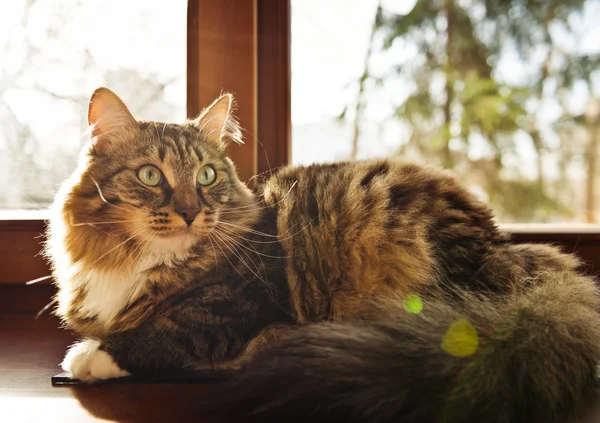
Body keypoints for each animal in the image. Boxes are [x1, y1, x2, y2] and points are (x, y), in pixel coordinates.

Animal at [45, 87, 600, 423]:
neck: (141, 260)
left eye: (206, 175)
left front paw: (93, 355)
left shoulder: (241, 303)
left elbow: (170, 329)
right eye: (150, 175)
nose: (189, 212)